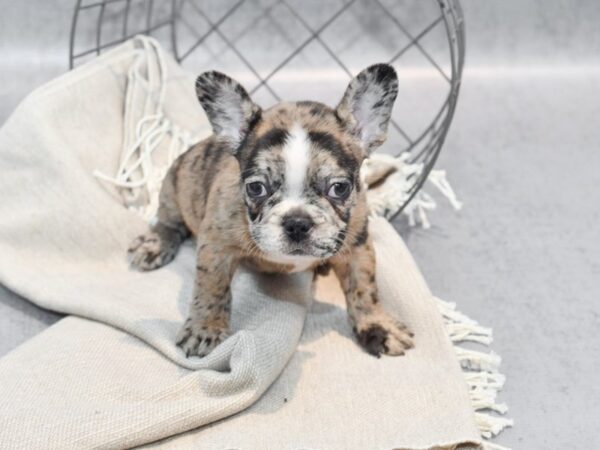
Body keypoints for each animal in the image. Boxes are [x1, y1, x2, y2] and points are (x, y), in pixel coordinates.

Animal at [129, 63, 414, 358]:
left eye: (339, 188)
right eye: (256, 188)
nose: (297, 223)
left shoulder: (358, 246)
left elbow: (364, 288)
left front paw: (378, 326)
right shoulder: (216, 245)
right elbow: (212, 286)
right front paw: (205, 327)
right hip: (175, 186)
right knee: (169, 222)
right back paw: (156, 243)